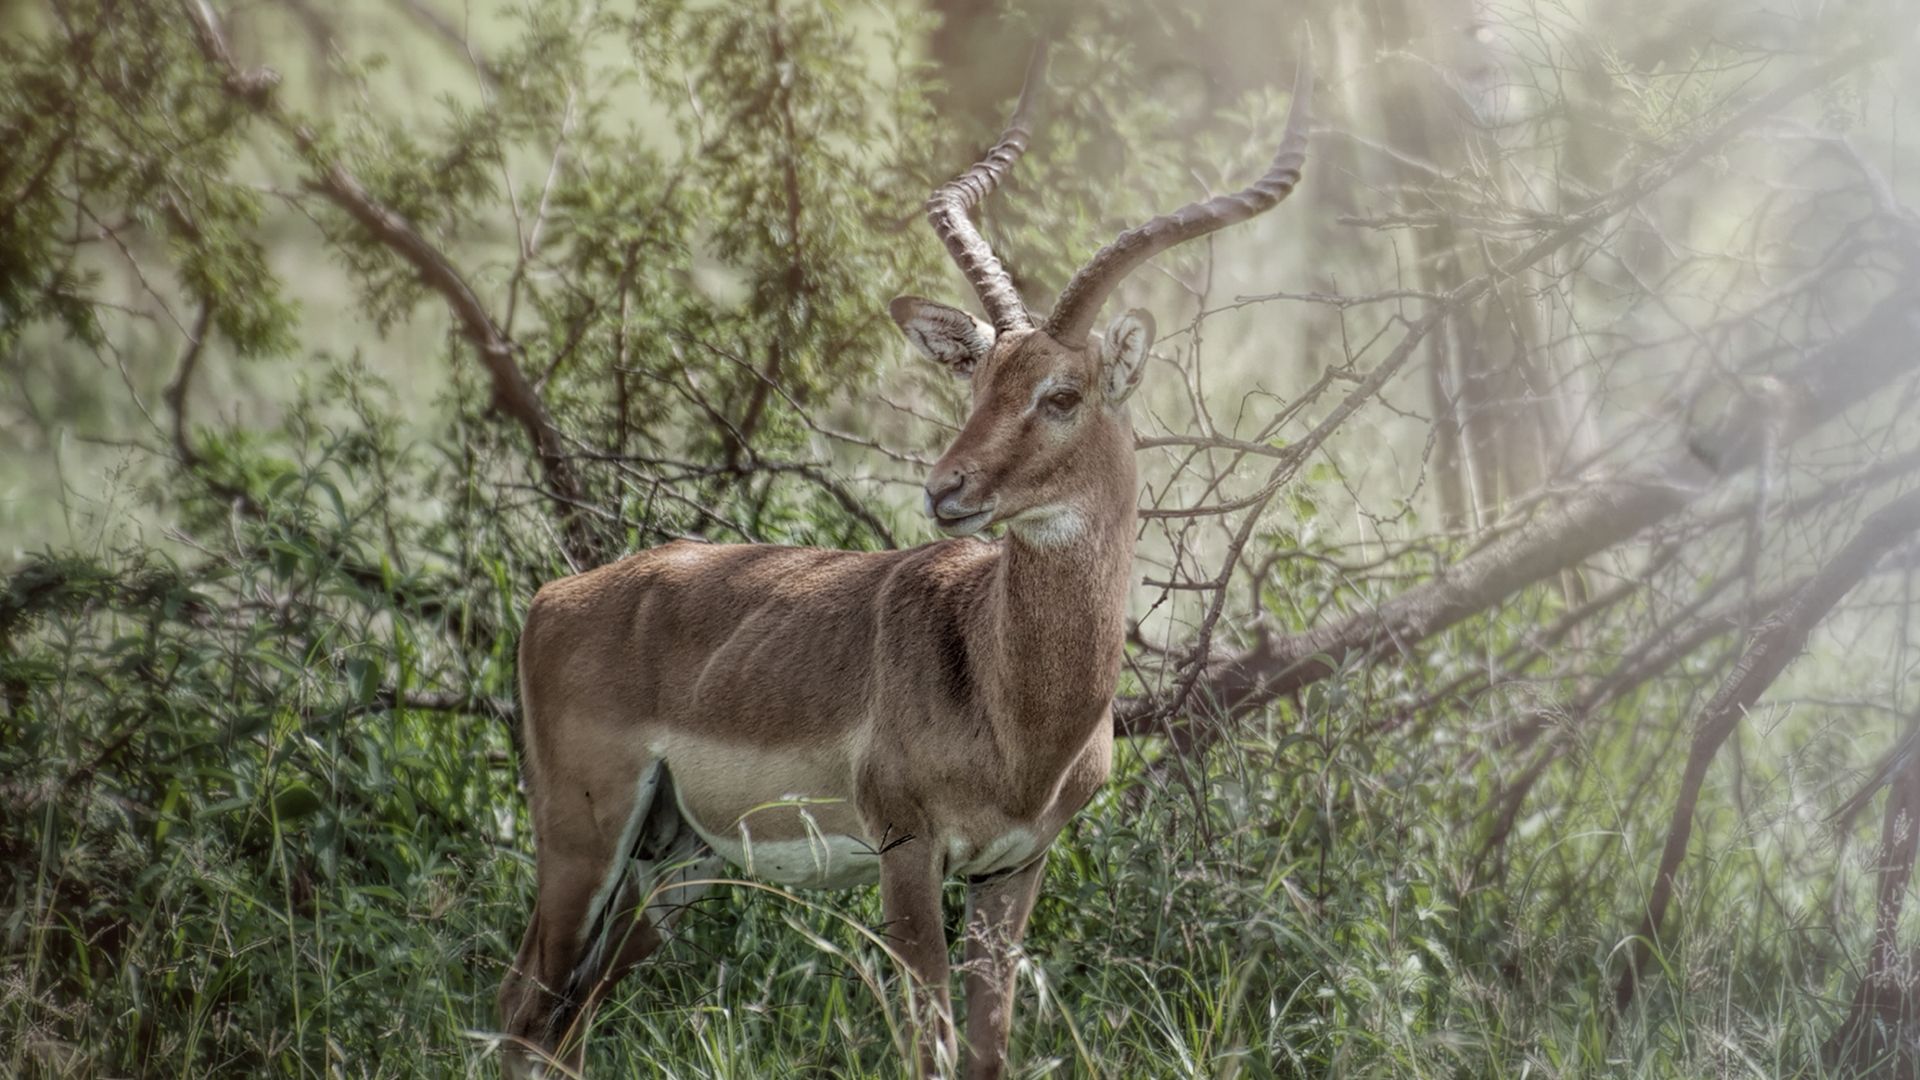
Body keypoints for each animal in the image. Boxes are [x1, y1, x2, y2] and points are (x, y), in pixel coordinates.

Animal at [498, 43, 1311, 1080]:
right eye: (976, 376)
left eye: (1061, 392)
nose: (945, 487)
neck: (1011, 698)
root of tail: (555, 595)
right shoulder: (908, 850)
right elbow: (930, 1048)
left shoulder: (1017, 867)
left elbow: (986, 1053)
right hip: (585, 838)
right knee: (521, 1007)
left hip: (674, 865)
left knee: (564, 1025)